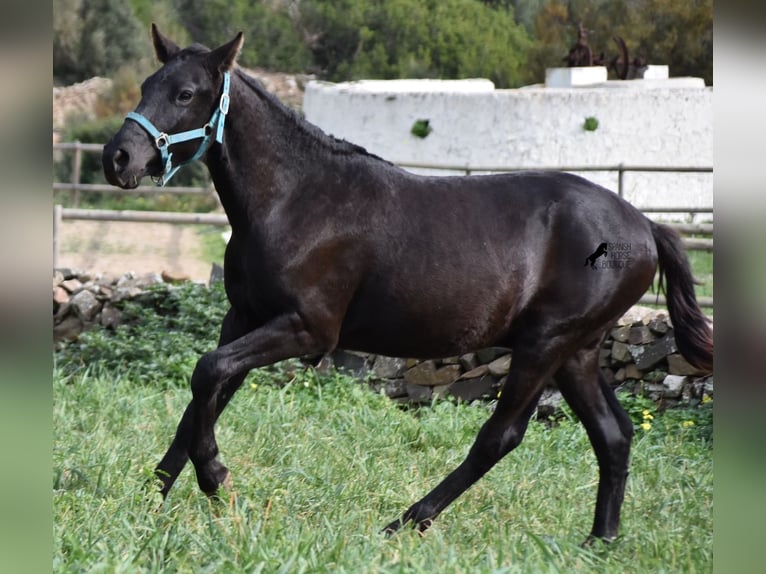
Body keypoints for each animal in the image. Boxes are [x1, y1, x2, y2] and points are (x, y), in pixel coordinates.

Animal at [102, 27, 712, 548]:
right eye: (146, 85)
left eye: (185, 93)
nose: (118, 158)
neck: (296, 200)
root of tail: (645, 226)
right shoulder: (244, 318)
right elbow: (204, 394)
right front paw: (151, 498)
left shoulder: (308, 329)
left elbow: (208, 373)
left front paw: (215, 478)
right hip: (577, 352)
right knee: (613, 434)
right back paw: (598, 542)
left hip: (546, 345)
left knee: (502, 436)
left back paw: (404, 522)